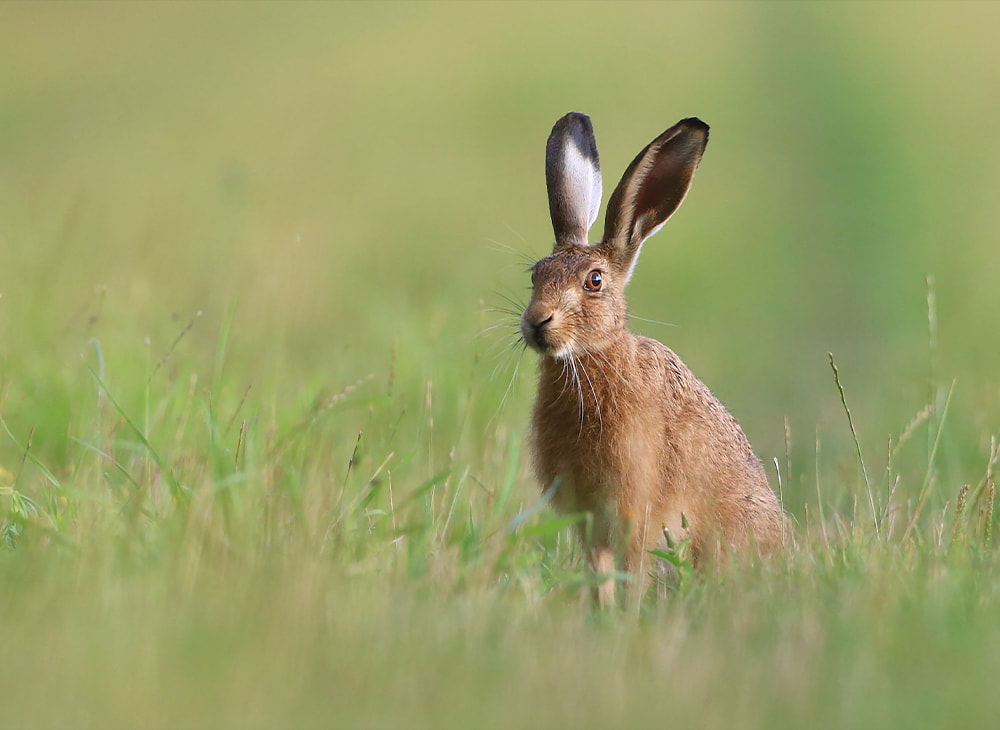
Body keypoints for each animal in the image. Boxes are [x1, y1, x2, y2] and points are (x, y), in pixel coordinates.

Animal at [520, 112, 784, 606]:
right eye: (534, 276)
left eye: (594, 281)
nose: (535, 322)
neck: (593, 358)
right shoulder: (590, 522)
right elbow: (599, 572)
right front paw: (602, 613)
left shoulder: (634, 510)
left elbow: (633, 571)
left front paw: (627, 614)